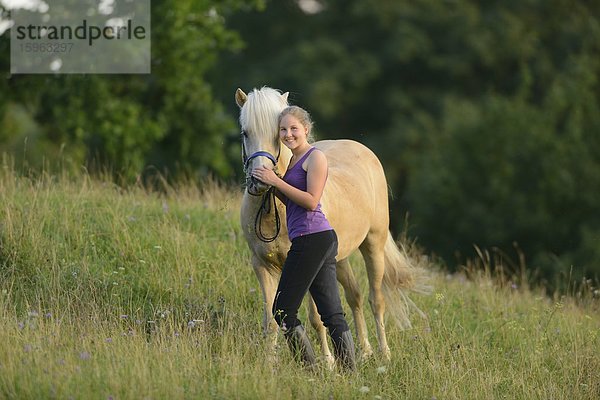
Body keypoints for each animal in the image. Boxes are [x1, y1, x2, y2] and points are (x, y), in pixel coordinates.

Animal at [234, 86, 426, 364]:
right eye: (245, 132)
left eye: (277, 133)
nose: (260, 181)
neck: (274, 209)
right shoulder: (262, 266)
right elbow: (271, 319)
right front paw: (268, 363)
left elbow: (316, 318)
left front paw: (327, 362)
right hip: (340, 258)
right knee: (355, 296)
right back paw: (365, 350)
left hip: (373, 245)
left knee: (375, 300)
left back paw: (384, 353)